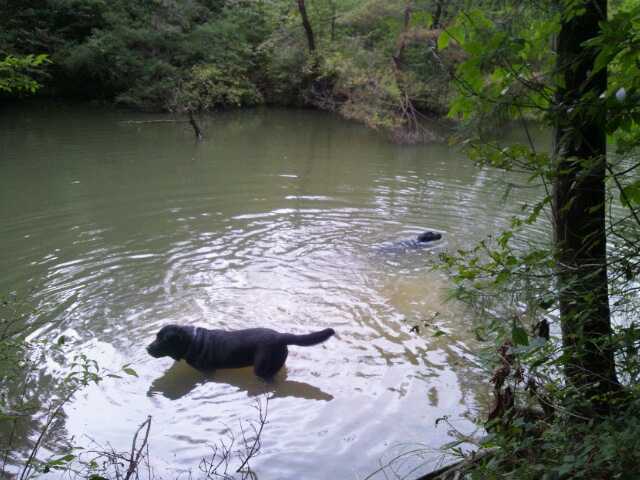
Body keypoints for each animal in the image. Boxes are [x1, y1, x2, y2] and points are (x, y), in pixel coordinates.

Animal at [146, 326, 336, 378]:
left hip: (261, 367)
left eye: (162, 340)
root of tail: (281, 336)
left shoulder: (207, 371)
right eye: (156, 336)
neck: (192, 341)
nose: (147, 348)